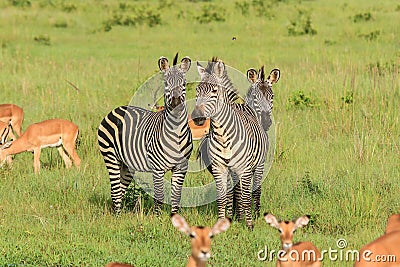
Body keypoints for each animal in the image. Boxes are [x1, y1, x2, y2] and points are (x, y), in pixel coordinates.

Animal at [96, 53, 191, 215]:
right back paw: (117, 216)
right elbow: (159, 195)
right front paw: (157, 217)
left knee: (120, 189)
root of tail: (117, 108)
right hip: (110, 156)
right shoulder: (158, 168)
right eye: (166, 83)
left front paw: (175, 217)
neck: (176, 131)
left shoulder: (181, 167)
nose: (176, 102)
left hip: (127, 164)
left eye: (183, 84)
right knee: (115, 189)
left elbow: (176, 195)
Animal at [191, 58, 268, 230]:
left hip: (257, 165)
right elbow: (222, 197)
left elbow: (246, 198)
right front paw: (222, 222)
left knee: (253, 190)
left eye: (214, 91)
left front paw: (249, 225)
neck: (222, 135)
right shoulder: (219, 169)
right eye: (197, 91)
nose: (197, 118)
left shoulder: (245, 169)